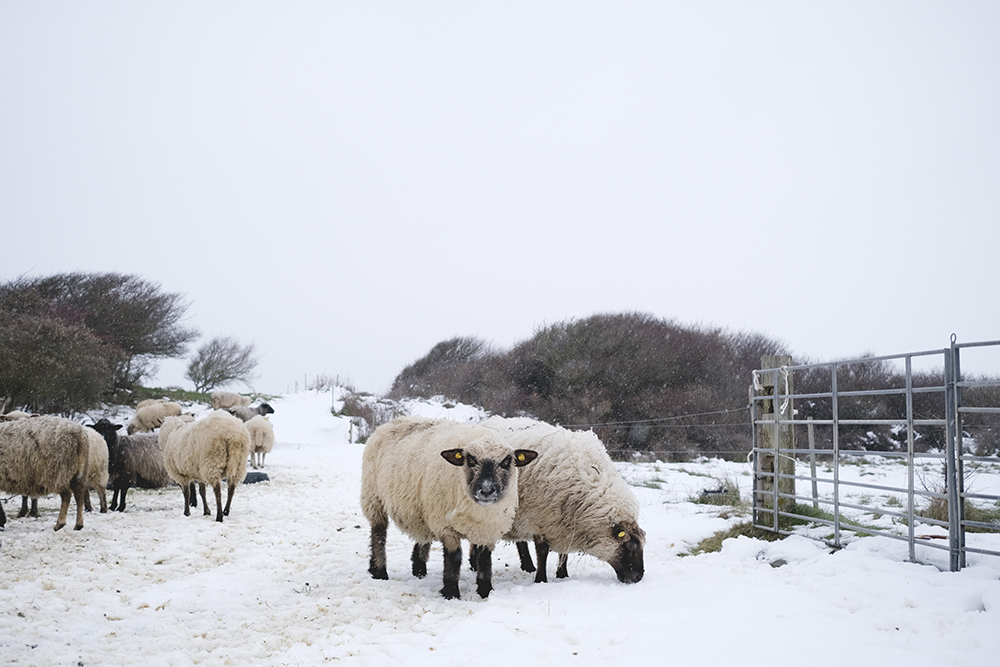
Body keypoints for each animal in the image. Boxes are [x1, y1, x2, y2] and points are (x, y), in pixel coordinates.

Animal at [356, 418, 536, 600]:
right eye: (471, 460)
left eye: (506, 462)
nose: (486, 490)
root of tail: (392, 421)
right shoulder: (445, 526)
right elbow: (454, 557)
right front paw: (451, 592)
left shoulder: (488, 530)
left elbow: (485, 559)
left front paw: (485, 591)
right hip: (373, 497)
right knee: (379, 534)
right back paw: (379, 571)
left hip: (423, 507)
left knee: (422, 536)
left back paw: (417, 570)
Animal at [476, 418, 648, 584]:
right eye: (630, 545)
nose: (638, 577)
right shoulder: (540, 519)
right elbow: (543, 552)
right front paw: (541, 579)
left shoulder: (564, 525)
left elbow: (564, 553)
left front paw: (562, 575)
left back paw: (527, 566)